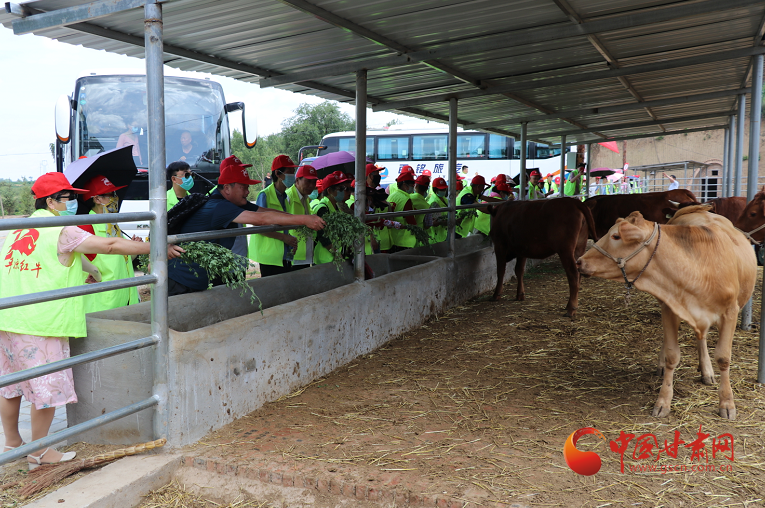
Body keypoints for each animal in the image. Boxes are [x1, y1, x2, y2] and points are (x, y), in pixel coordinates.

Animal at [576, 204, 756, 418]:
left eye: (616, 236)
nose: (579, 261)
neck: (699, 270)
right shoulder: (670, 308)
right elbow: (672, 355)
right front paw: (663, 400)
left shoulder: (730, 313)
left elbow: (723, 357)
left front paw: (727, 403)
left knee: (701, 337)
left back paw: (706, 370)